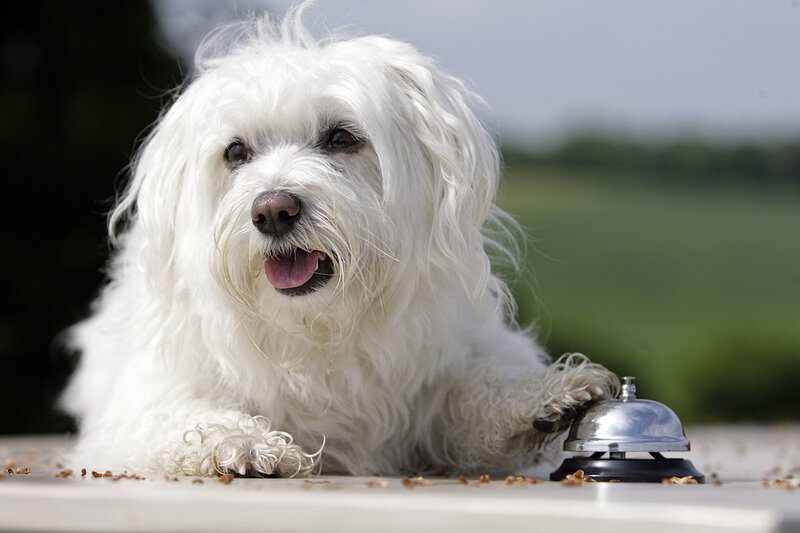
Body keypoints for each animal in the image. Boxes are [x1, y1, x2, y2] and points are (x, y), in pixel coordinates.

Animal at [62, 6, 620, 476]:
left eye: (341, 138)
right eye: (236, 152)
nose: (272, 211)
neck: (318, 328)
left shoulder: (440, 373)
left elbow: (471, 395)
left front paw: (543, 396)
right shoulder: (145, 399)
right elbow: (179, 419)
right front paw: (236, 441)